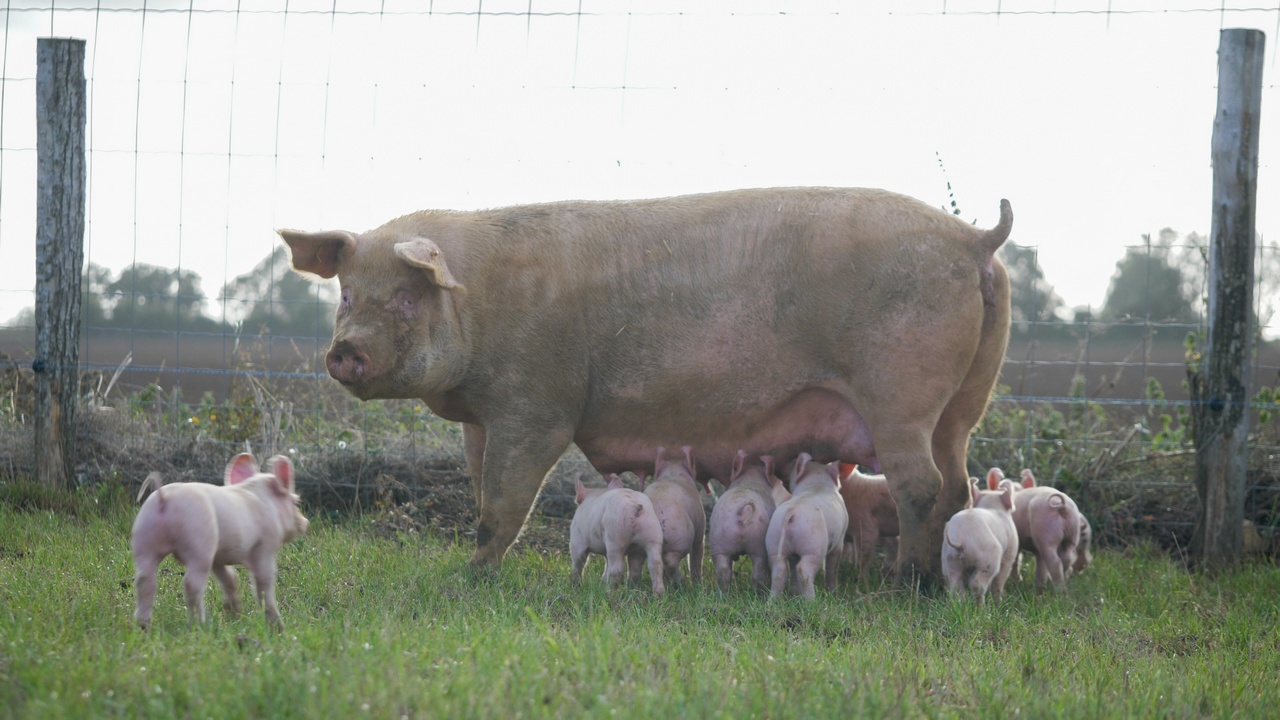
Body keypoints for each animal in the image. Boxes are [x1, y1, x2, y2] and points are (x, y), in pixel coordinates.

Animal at [282, 185, 1008, 584]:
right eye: (347, 294)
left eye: (407, 296)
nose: (345, 351)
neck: (482, 300)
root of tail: (974, 239)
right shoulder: (481, 419)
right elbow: (483, 489)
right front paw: (471, 569)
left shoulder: (537, 404)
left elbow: (503, 503)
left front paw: (471, 577)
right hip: (962, 407)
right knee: (958, 480)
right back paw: (935, 580)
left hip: (901, 393)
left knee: (920, 483)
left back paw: (906, 583)